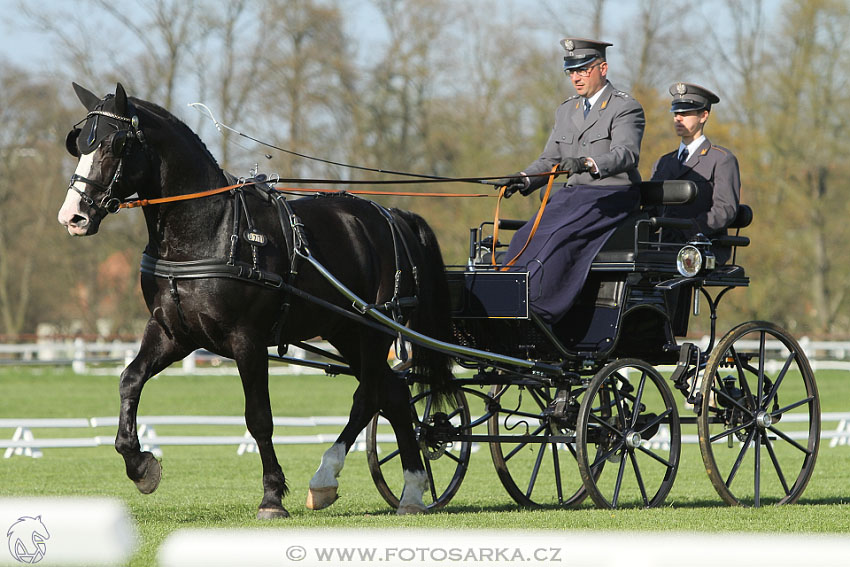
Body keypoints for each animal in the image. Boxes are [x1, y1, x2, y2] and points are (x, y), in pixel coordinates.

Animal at [56, 84, 454, 520]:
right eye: (79, 143)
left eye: (116, 143)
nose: (73, 216)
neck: (208, 231)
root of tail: (390, 214)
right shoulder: (172, 333)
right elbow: (130, 379)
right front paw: (141, 465)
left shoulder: (247, 339)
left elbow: (259, 417)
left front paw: (272, 497)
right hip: (345, 329)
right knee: (392, 393)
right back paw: (403, 490)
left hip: (374, 327)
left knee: (369, 395)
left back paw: (339, 479)